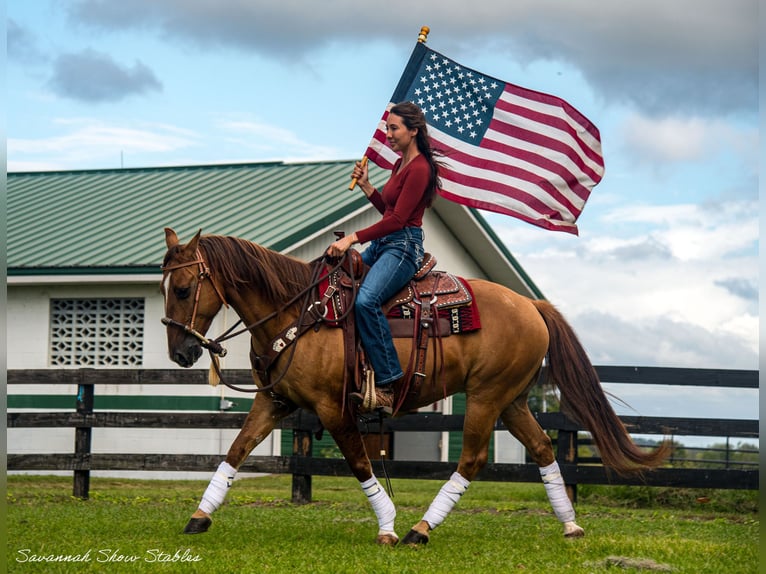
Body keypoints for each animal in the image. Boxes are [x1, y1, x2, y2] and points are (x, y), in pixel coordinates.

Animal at [162, 227, 672, 548]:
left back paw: (420, 529)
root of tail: (531, 305)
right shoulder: (274, 401)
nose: (180, 353)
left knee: (473, 459)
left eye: (184, 289)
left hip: (486, 397)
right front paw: (199, 517)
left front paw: (387, 526)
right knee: (544, 449)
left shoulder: (332, 409)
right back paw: (570, 526)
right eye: (164, 288)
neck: (300, 313)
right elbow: (236, 451)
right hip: (512, 401)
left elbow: (360, 463)